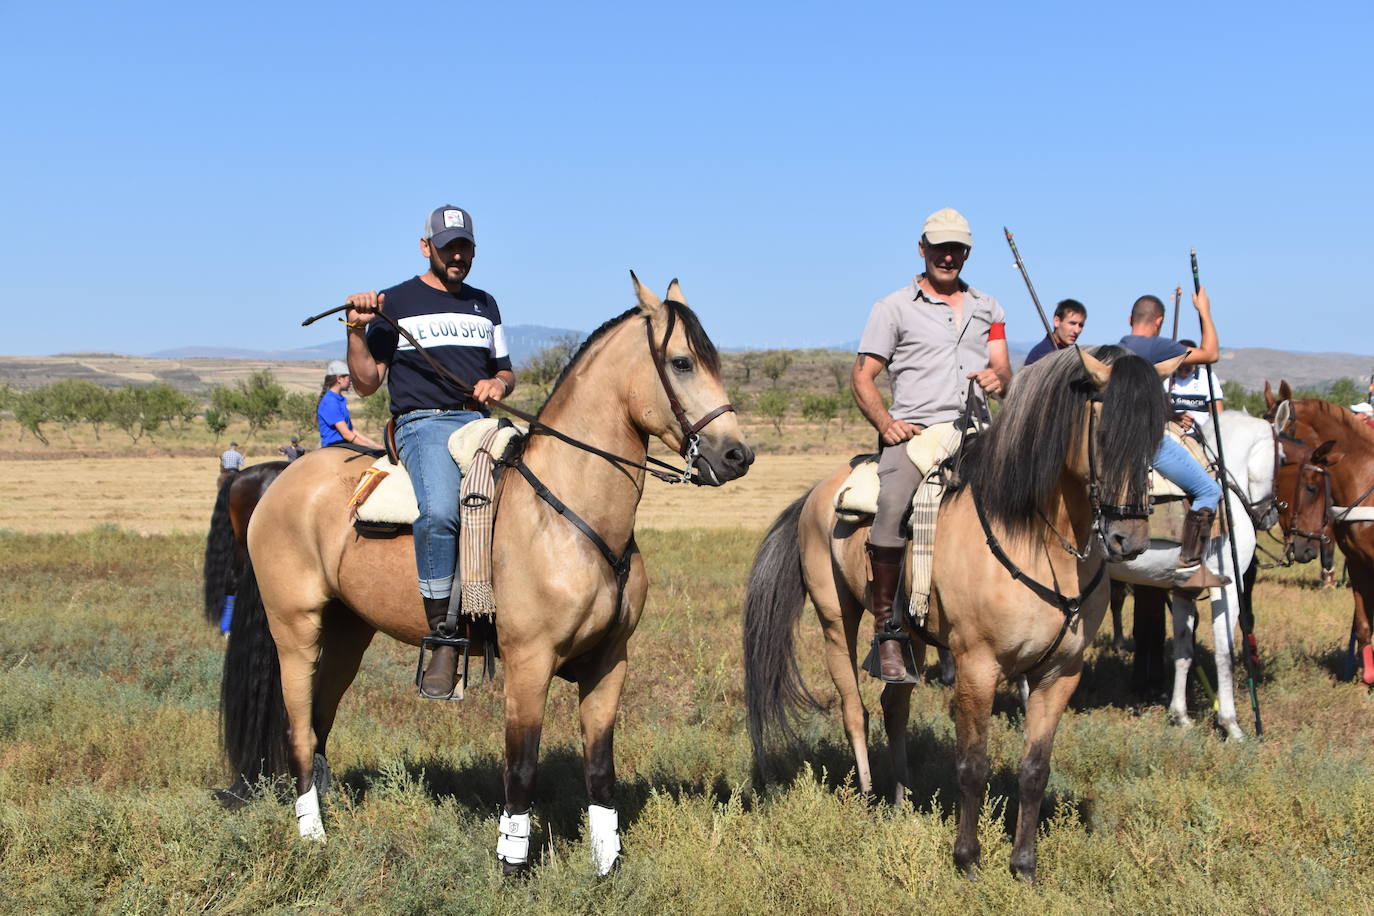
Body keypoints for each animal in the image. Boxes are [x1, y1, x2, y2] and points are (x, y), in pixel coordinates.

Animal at [217, 276, 752, 878]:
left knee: (320, 718)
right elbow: (521, 766)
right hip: (296, 629)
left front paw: (607, 864)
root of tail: (280, 477)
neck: (566, 512)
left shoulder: (610, 662)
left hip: (348, 631)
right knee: (298, 724)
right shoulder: (529, 662)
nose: (738, 455)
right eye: (682, 362)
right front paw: (511, 862)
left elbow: (600, 768)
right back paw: (313, 834)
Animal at [747, 347, 1165, 878]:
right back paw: (868, 802)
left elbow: (1035, 769)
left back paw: (902, 799)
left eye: (1156, 436)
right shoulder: (976, 666)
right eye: (1103, 433)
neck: (1034, 538)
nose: (1128, 540)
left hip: (909, 638)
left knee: (894, 705)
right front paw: (967, 859)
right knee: (855, 711)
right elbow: (972, 764)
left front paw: (1024, 866)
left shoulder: (1059, 674)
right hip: (835, 621)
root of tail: (818, 491)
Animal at [1104, 411, 1275, 741]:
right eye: (1281, 458)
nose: (1271, 514)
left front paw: (1180, 716)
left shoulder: (1183, 590)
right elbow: (1225, 653)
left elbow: (1184, 650)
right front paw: (1231, 724)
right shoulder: (1227, 588)